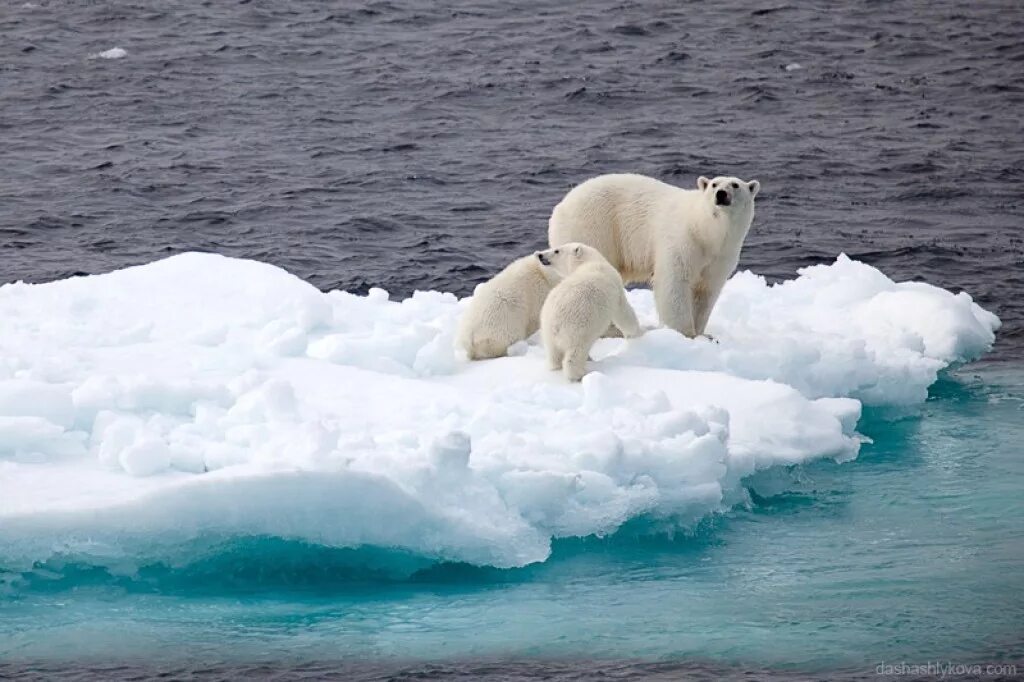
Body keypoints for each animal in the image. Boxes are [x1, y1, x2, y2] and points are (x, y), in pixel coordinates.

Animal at [536, 242, 638, 382]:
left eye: (557, 250)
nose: (540, 255)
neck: (589, 261)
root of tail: (554, 324)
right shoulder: (616, 288)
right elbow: (623, 311)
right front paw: (636, 333)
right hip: (579, 327)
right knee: (576, 352)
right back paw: (580, 374)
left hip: (547, 331)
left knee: (553, 353)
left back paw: (556, 367)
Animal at [552, 173, 761, 337]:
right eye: (714, 184)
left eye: (735, 184)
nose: (721, 194)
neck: (705, 231)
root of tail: (561, 205)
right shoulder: (683, 240)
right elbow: (674, 283)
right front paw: (685, 333)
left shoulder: (721, 255)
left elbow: (706, 290)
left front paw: (703, 333)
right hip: (593, 228)